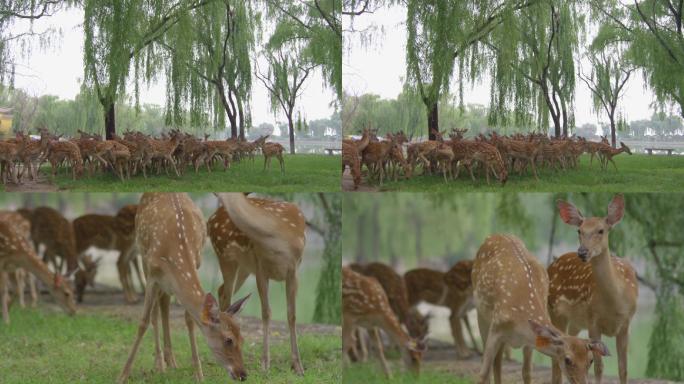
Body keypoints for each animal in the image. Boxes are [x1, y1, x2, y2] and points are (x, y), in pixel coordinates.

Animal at [117, 194, 251, 382]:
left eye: (243, 338)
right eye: (229, 340)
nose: (243, 374)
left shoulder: (196, 263)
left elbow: (189, 319)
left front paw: (199, 374)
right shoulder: (152, 275)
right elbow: (143, 322)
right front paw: (122, 375)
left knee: (164, 304)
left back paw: (171, 360)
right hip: (143, 257)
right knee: (156, 313)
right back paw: (160, 363)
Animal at [207, 194, 306, 374]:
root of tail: (211, 218)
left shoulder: (294, 270)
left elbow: (292, 314)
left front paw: (298, 366)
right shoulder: (261, 268)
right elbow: (266, 312)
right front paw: (265, 365)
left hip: (243, 267)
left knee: (222, 290)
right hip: (225, 256)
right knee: (226, 295)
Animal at [470, 234, 608, 384]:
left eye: (590, 360)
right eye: (567, 360)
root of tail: (495, 235)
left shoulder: (529, 341)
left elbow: (527, 372)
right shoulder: (496, 328)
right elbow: (483, 374)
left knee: (498, 362)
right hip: (481, 314)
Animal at [548, 195, 640, 384]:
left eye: (601, 230)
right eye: (579, 231)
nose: (582, 251)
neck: (615, 303)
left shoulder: (626, 323)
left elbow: (623, 368)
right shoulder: (593, 320)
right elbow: (599, 367)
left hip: (575, 322)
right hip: (555, 311)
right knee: (556, 362)